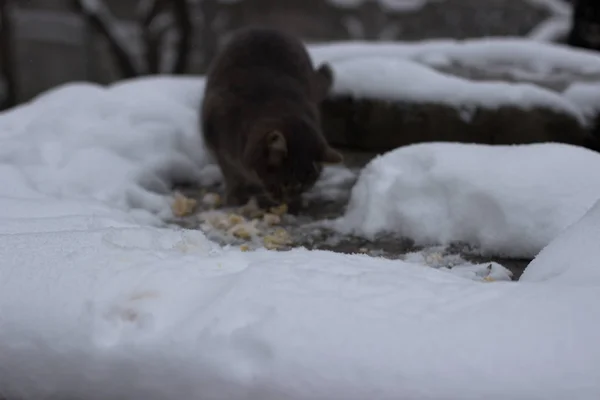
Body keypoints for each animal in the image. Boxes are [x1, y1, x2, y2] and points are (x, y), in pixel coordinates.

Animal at [202, 26, 342, 211]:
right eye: (282, 184)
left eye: (305, 188)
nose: (286, 201)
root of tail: (268, 28)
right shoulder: (217, 139)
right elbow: (230, 173)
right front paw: (235, 195)